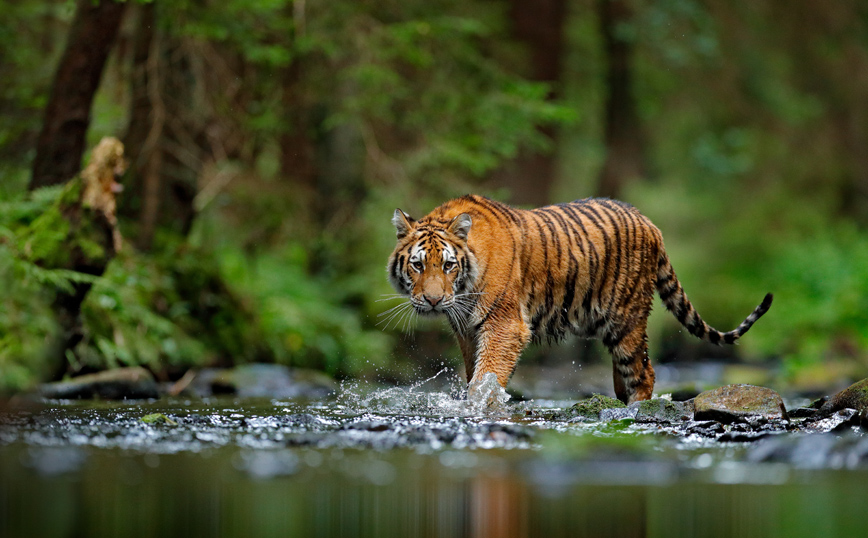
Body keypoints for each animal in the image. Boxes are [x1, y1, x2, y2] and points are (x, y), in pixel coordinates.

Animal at [386, 194, 772, 402]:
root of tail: (650, 223)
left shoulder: (504, 325)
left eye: (448, 265)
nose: (433, 301)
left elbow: (487, 376)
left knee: (644, 372)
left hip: (626, 320)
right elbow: (474, 374)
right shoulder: (467, 330)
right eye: (418, 265)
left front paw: (480, 406)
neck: (464, 290)